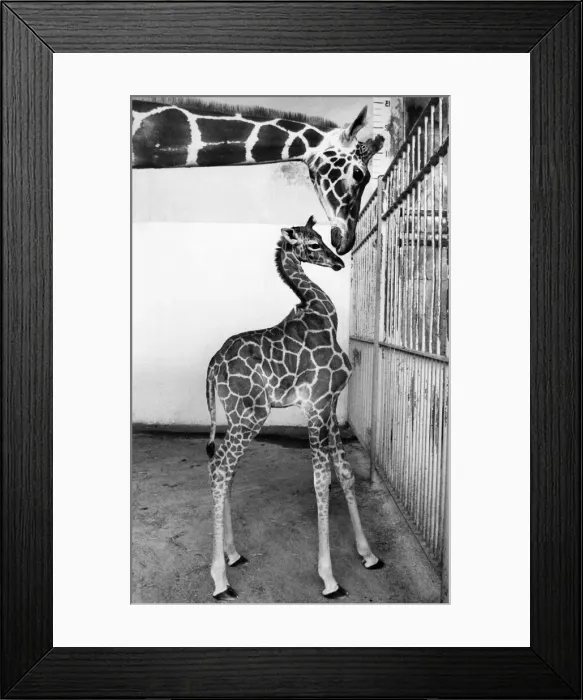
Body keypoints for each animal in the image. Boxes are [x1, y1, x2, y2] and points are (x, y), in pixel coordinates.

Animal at [205, 215, 383, 601]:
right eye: (313, 244)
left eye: (322, 239)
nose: (338, 263)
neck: (323, 316)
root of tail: (213, 366)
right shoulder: (315, 406)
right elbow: (321, 480)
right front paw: (329, 578)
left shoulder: (331, 405)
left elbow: (345, 473)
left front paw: (369, 555)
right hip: (250, 416)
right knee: (222, 468)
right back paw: (220, 579)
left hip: (236, 416)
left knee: (221, 466)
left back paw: (233, 554)